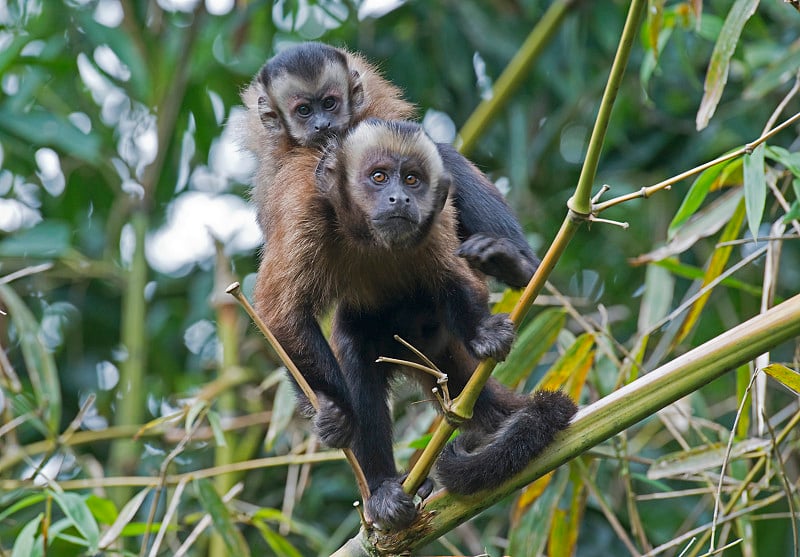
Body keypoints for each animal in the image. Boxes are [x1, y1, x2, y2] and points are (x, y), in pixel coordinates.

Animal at [255, 118, 576, 528]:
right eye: (378, 177)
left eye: (411, 180)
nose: (400, 199)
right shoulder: (305, 213)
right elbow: (279, 315)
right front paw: (333, 411)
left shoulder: (435, 215)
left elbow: (452, 276)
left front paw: (484, 332)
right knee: (357, 358)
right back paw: (381, 487)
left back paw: (514, 265)